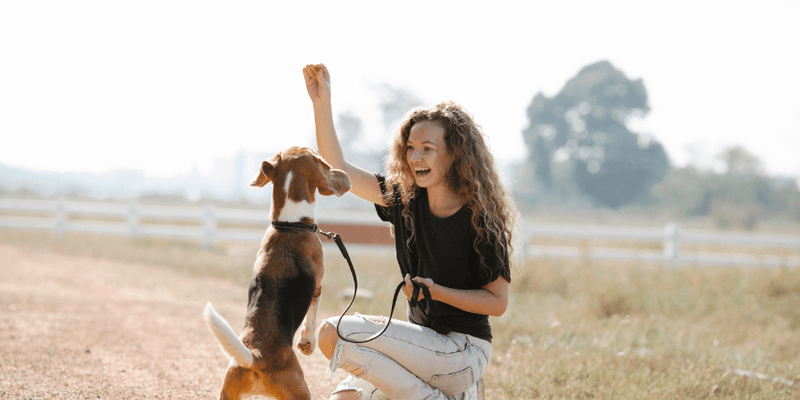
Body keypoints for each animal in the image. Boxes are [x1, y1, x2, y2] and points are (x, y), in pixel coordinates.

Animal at [203, 147, 350, 400]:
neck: (289, 224)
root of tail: (256, 357)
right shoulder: (317, 287)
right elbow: (311, 318)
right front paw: (307, 343)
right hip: (301, 392)